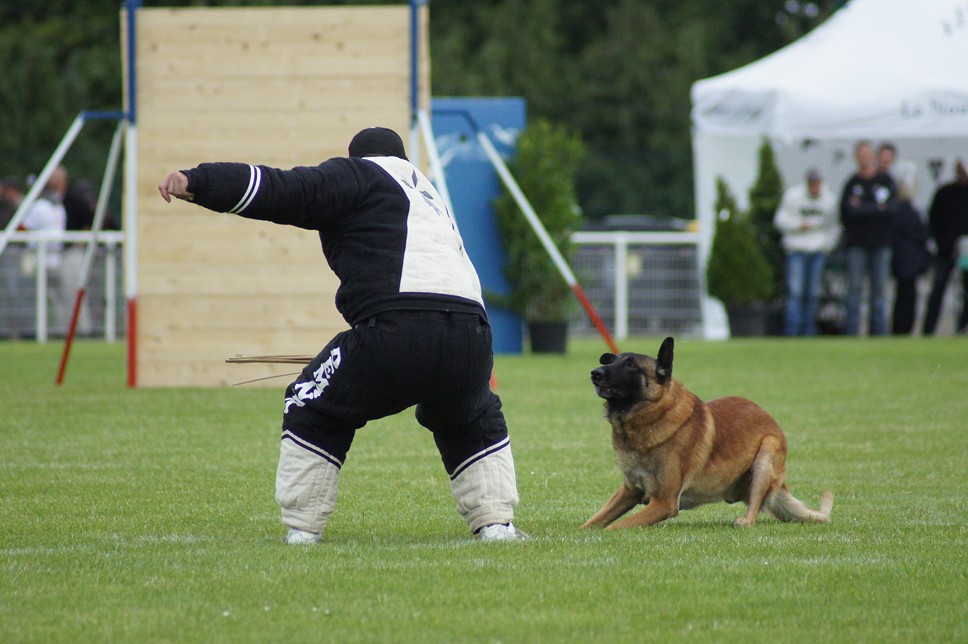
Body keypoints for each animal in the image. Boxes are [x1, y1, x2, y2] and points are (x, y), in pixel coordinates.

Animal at [584, 338, 832, 528]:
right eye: (612, 361)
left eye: (631, 365)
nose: (595, 373)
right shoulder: (629, 491)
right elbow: (592, 523)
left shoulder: (664, 502)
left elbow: (615, 528)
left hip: (766, 452)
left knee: (755, 508)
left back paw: (744, 521)